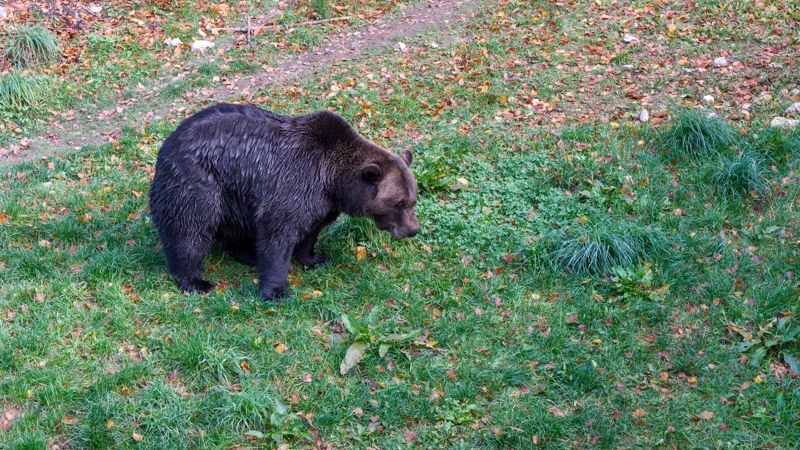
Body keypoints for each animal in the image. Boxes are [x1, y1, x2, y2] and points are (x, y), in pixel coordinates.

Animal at [149, 103, 420, 301]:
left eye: (413, 199)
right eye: (398, 203)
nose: (413, 229)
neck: (333, 181)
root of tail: (167, 145)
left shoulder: (321, 203)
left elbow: (311, 229)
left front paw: (314, 258)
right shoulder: (294, 184)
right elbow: (278, 233)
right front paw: (277, 290)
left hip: (235, 193)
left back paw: (248, 254)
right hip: (200, 181)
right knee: (190, 229)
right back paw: (196, 281)